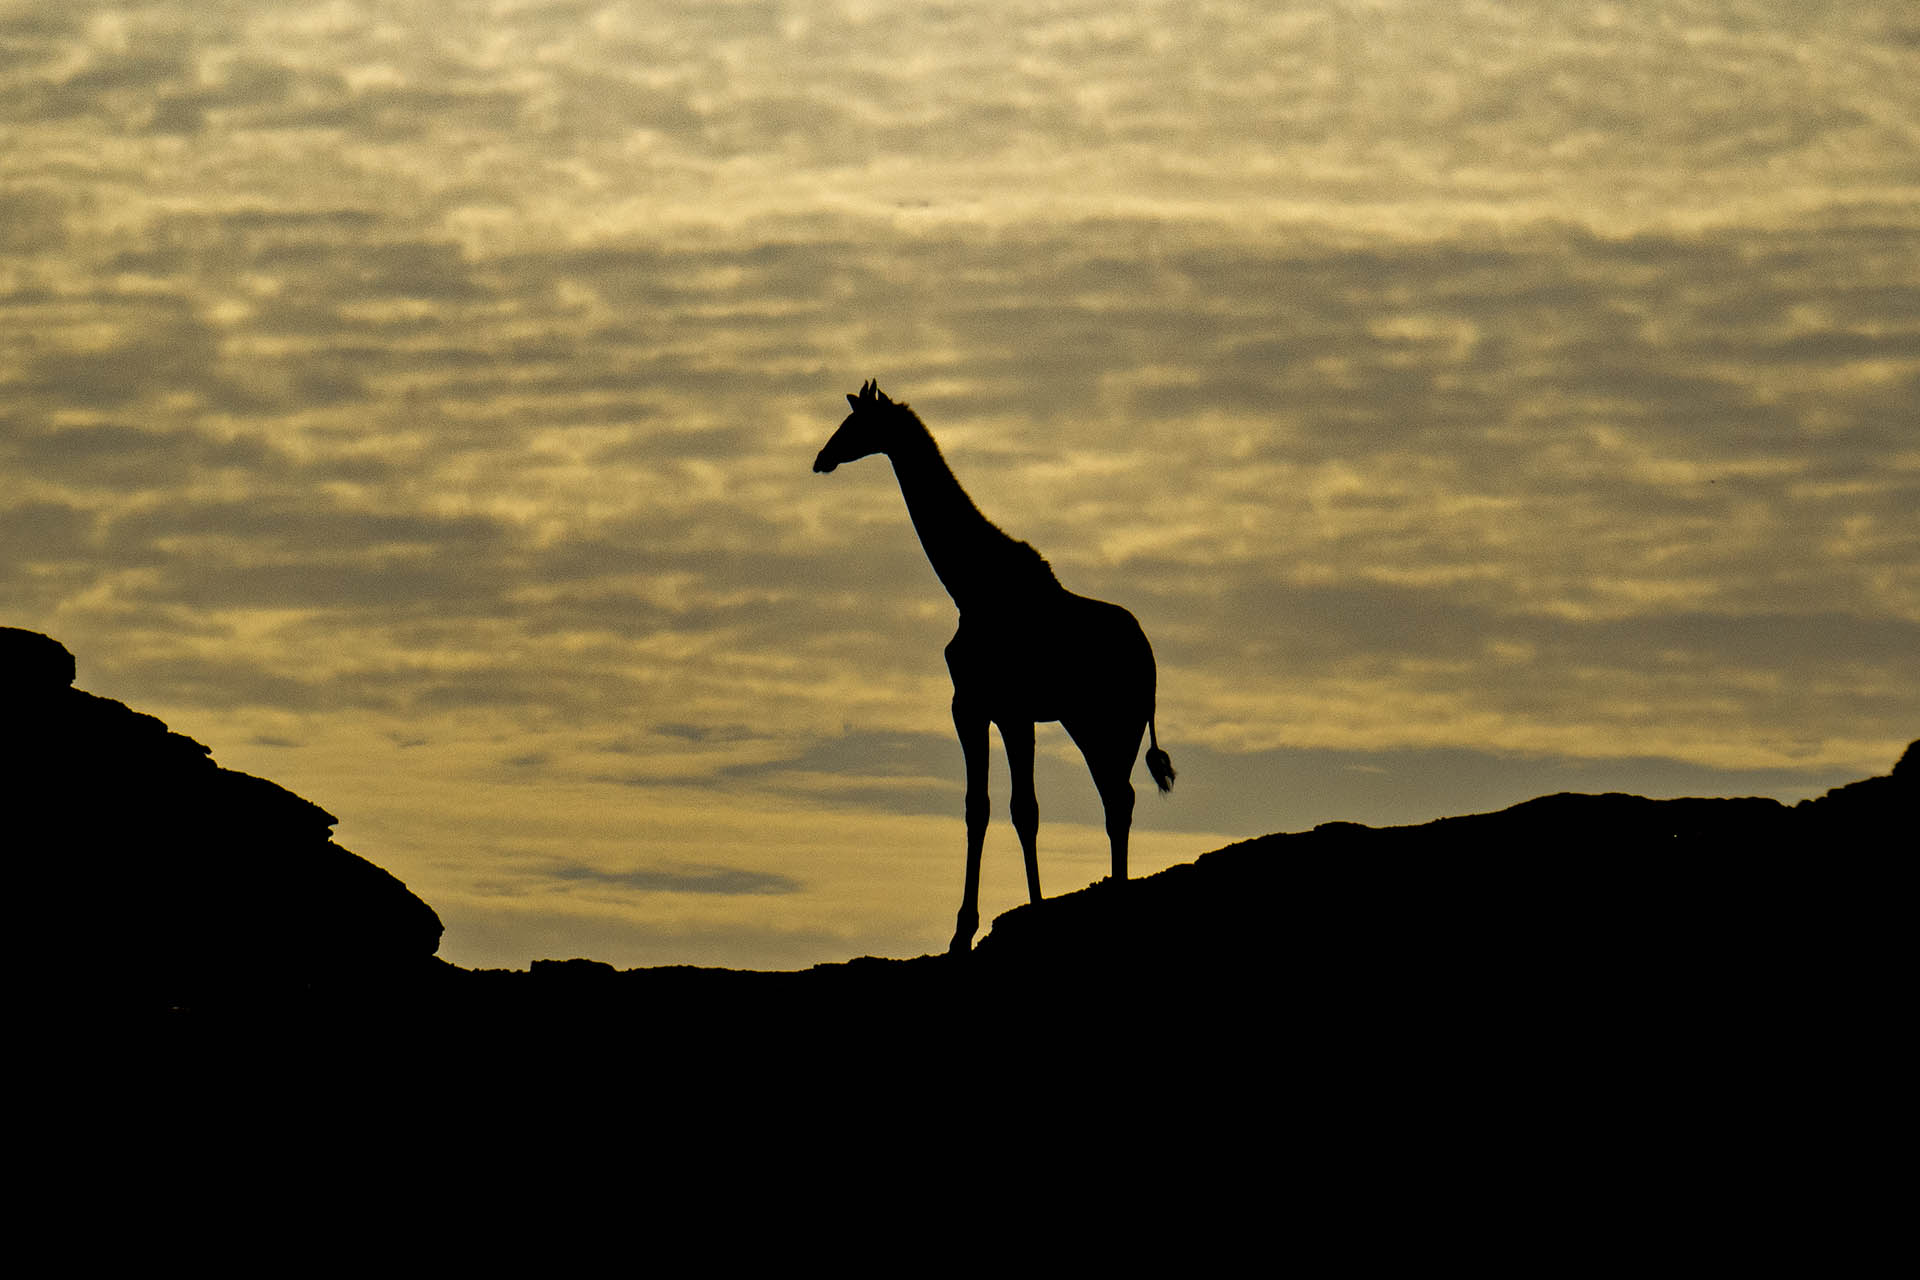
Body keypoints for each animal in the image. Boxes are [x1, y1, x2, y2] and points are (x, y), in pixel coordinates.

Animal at [814, 380, 1175, 954]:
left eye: (856, 424)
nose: (821, 458)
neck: (971, 586)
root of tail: (1151, 663)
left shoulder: (1010, 709)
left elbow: (1022, 809)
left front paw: (1027, 914)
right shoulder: (973, 705)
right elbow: (977, 807)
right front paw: (963, 930)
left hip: (1113, 723)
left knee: (1119, 798)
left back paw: (1118, 901)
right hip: (1089, 724)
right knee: (1118, 798)